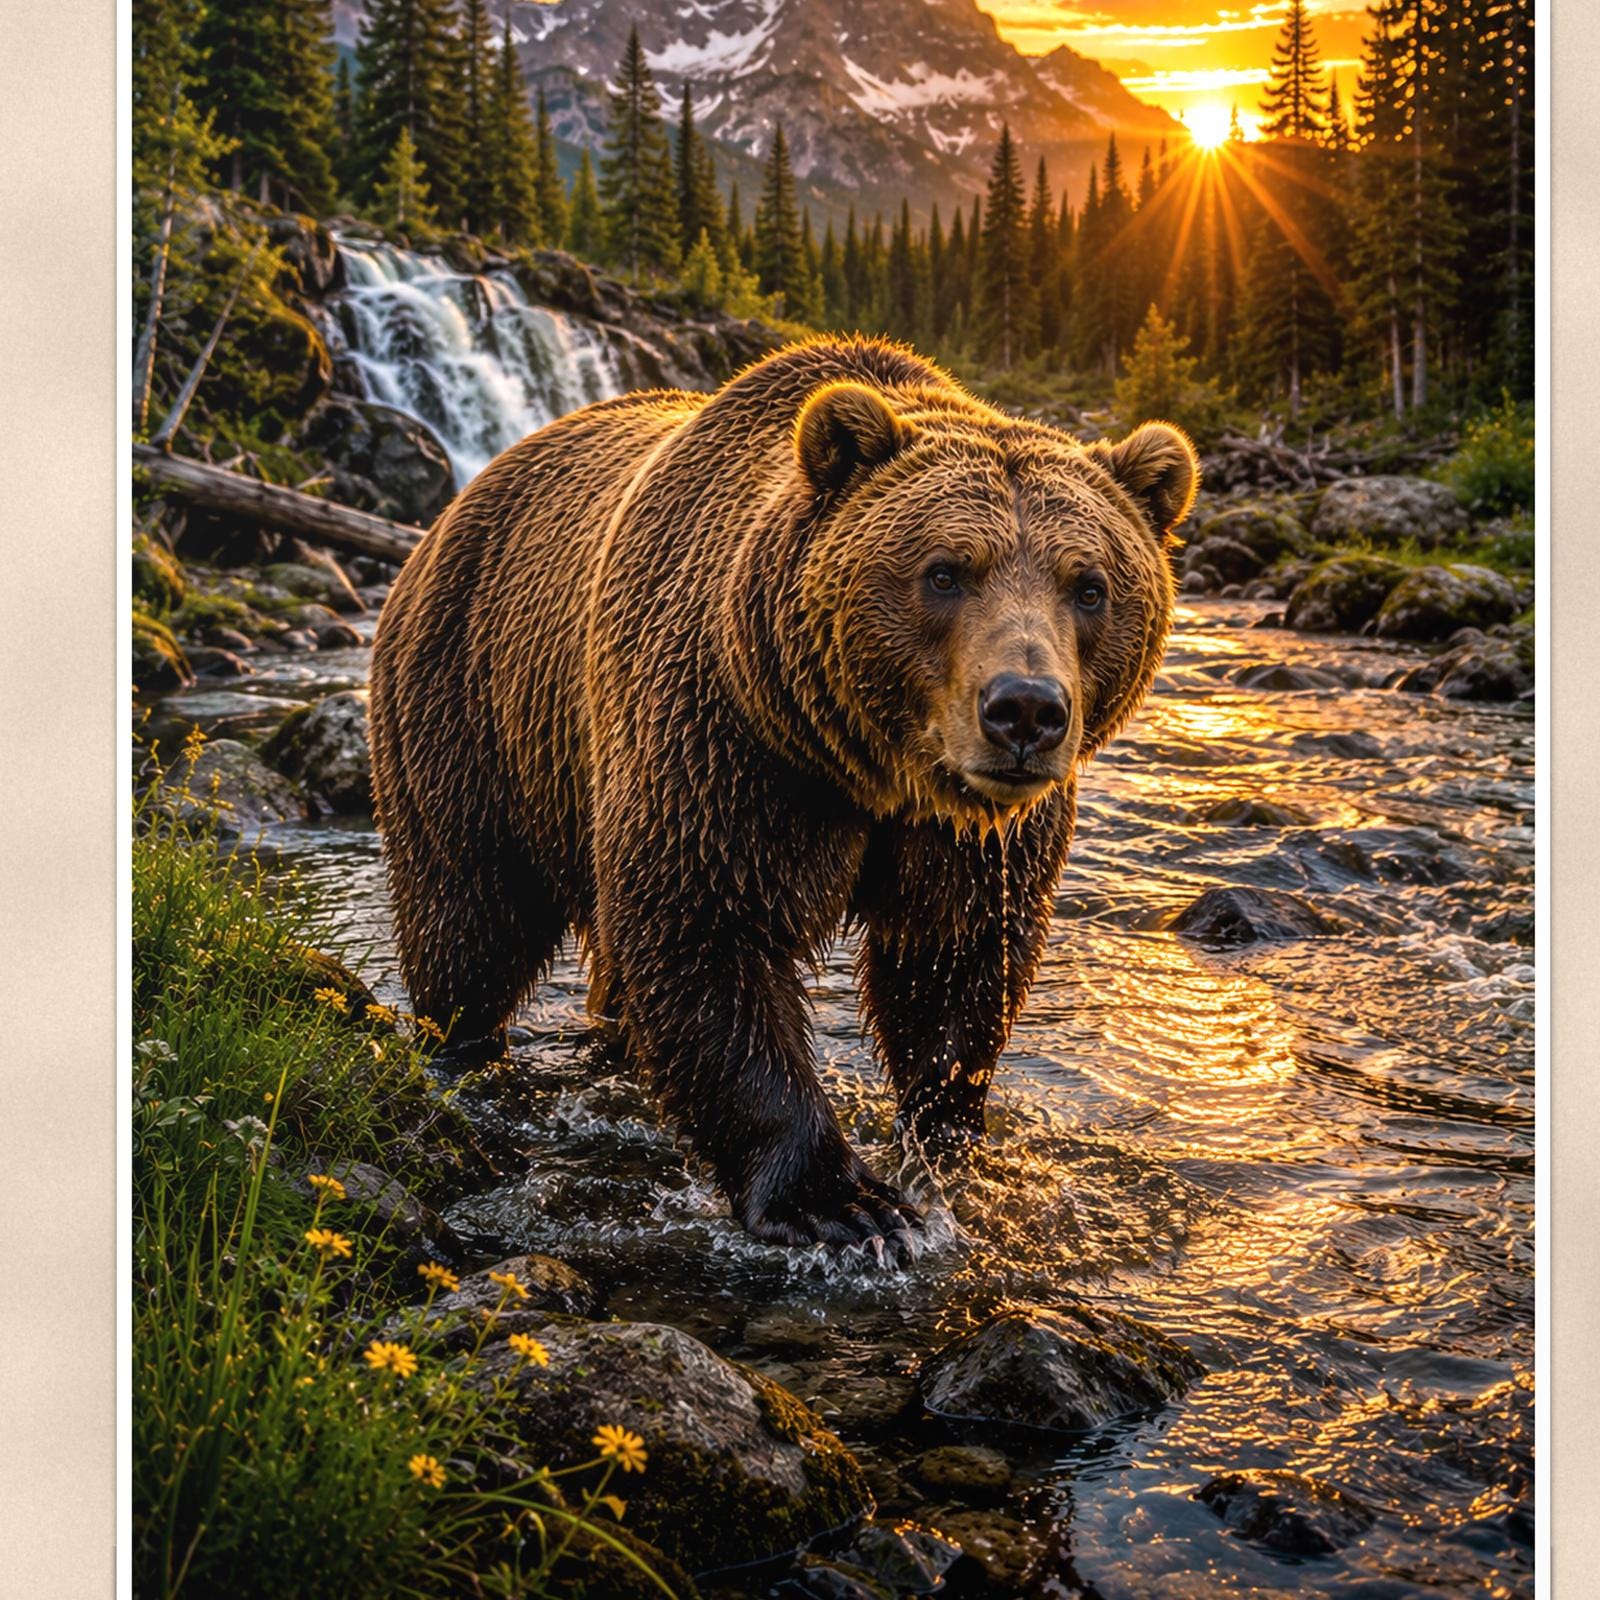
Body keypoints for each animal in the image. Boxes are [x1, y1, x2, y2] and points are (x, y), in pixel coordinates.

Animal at [369, 336, 1196, 1257]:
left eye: (1089, 586)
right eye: (945, 572)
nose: (1024, 709)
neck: (876, 770)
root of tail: (466, 494)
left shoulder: (974, 838)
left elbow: (953, 962)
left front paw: (946, 1144)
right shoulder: (729, 749)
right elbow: (708, 930)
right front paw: (841, 1200)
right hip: (473, 703)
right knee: (469, 914)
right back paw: (461, 1050)